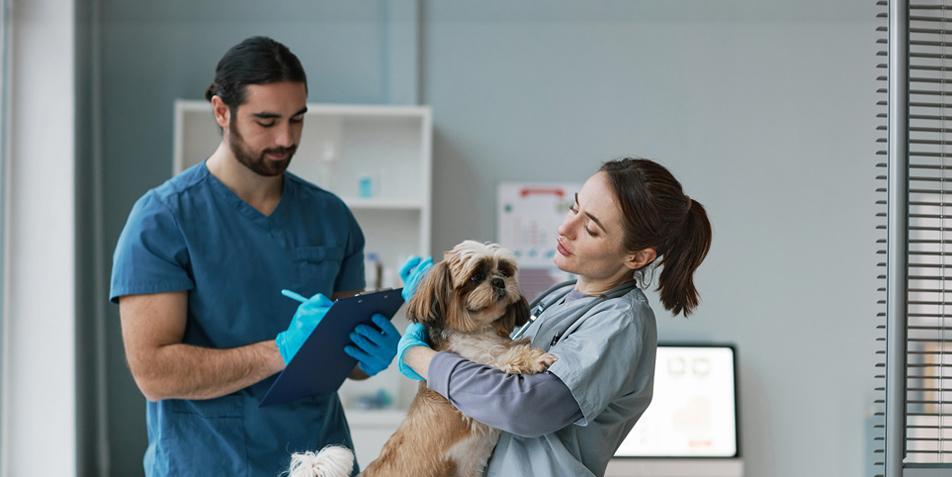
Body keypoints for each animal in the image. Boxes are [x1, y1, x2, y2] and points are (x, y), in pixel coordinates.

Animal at [290, 242, 556, 476]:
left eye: (504, 271)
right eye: (476, 277)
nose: (500, 281)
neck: (479, 331)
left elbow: (512, 346)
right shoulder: (476, 366)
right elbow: (503, 358)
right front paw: (535, 358)